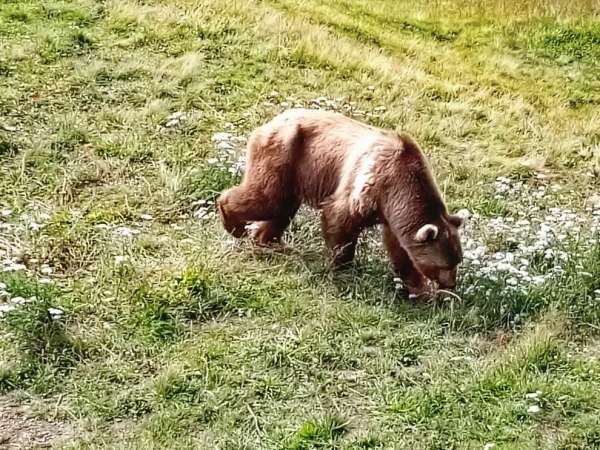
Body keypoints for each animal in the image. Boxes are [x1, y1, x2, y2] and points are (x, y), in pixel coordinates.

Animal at [216, 108, 464, 298]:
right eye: (444, 265)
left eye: (457, 261)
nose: (451, 284)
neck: (399, 188)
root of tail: (273, 120)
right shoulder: (367, 184)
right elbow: (340, 219)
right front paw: (342, 266)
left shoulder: (392, 214)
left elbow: (401, 251)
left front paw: (421, 292)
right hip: (283, 154)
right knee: (267, 198)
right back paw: (234, 224)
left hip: (293, 172)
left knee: (282, 207)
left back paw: (269, 241)